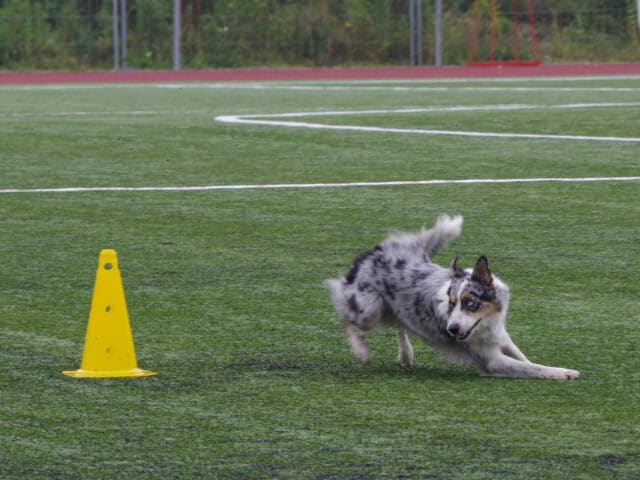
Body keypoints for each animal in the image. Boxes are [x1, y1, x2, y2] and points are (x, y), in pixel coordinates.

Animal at [324, 215, 580, 378]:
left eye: (470, 303)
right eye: (452, 303)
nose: (452, 330)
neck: (485, 326)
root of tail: (376, 251)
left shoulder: (501, 335)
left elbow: (526, 360)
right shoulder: (491, 360)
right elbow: (532, 368)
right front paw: (566, 372)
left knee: (399, 323)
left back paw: (406, 354)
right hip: (369, 310)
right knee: (345, 317)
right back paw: (362, 351)